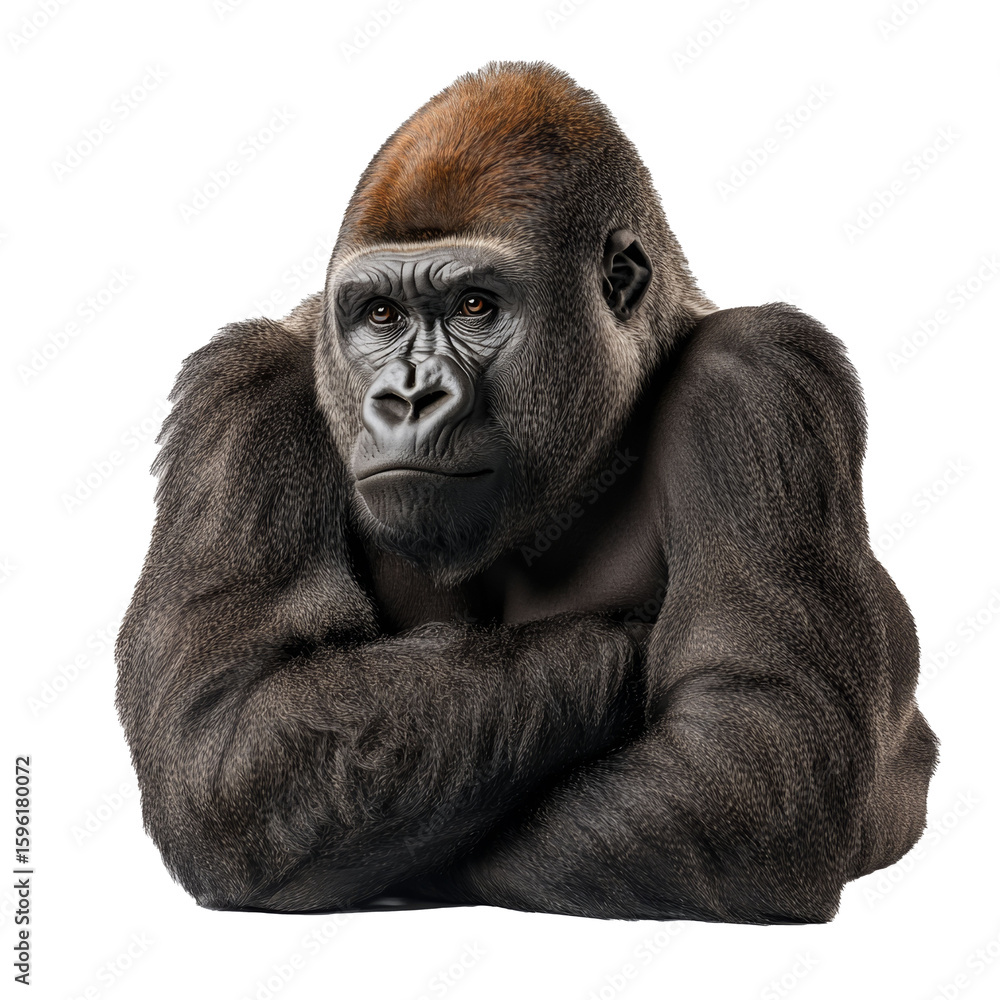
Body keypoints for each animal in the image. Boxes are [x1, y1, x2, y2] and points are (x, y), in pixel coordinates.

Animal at [115, 60, 938, 923]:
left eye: (475, 305)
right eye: (381, 314)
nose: (407, 397)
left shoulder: (759, 377)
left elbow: (754, 740)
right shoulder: (241, 395)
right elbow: (228, 742)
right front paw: (620, 646)